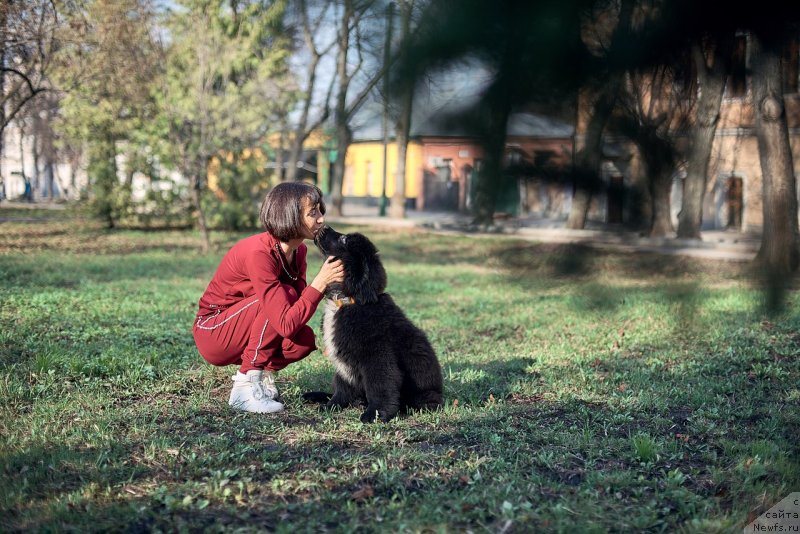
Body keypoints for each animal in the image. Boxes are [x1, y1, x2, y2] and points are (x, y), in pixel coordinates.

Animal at [304, 226, 444, 422]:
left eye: (344, 240)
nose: (323, 227)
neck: (348, 300)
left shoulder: (377, 357)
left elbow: (380, 387)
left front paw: (375, 414)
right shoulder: (344, 360)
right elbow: (342, 386)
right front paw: (332, 405)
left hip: (424, 396)